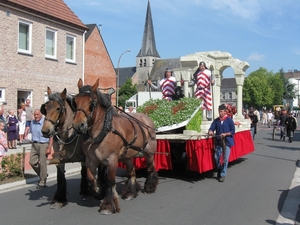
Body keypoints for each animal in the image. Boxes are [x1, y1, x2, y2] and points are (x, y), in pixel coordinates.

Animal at [72, 78, 158, 214]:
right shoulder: (90, 160)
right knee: (131, 171)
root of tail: (146, 118)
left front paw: (108, 205)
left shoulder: (112, 160)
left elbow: (110, 182)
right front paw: (98, 192)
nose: (78, 125)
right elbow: (90, 179)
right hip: (128, 155)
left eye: (91, 102)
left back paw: (149, 187)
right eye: (74, 101)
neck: (103, 130)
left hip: (149, 152)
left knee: (150, 168)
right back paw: (130, 193)